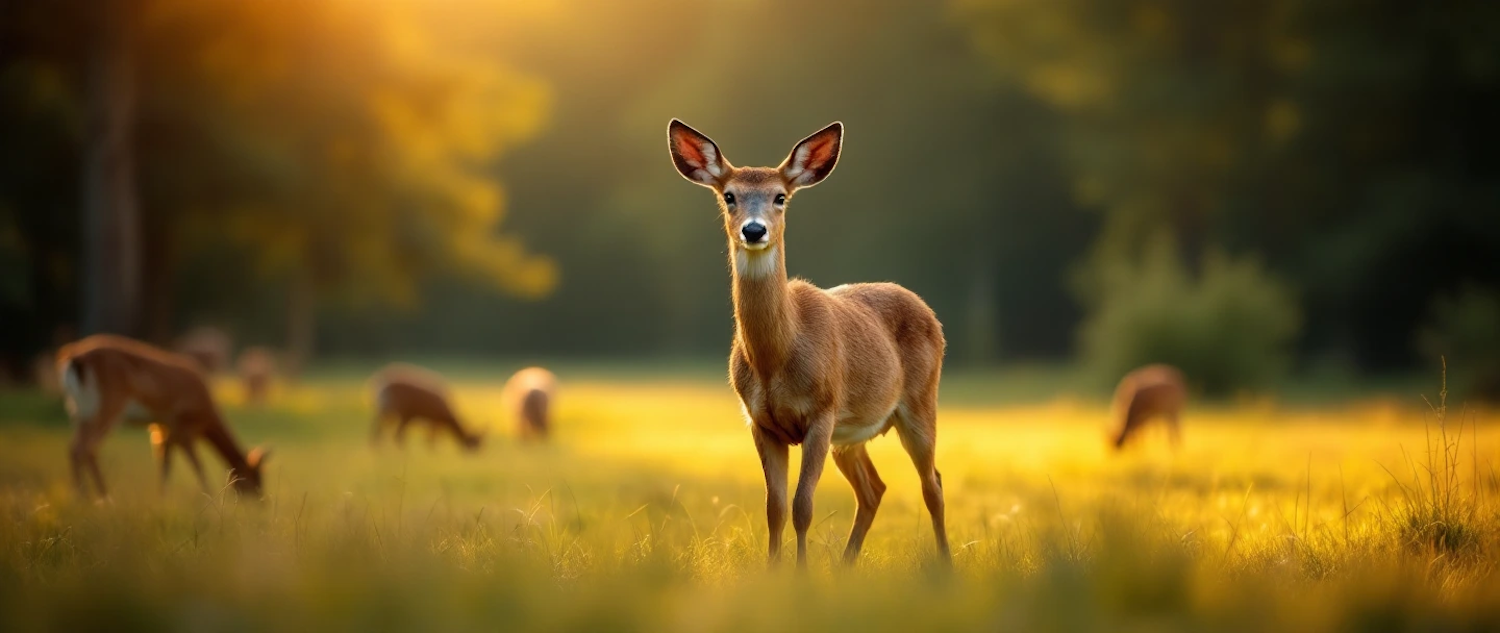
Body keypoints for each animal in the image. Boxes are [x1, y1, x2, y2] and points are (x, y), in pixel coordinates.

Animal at [54, 334, 271, 501]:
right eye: (255, 479)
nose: (261, 503)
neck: (207, 414)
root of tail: (75, 358)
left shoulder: (162, 428)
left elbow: (164, 465)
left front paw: (162, 500)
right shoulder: (183, 428)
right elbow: (198, 466)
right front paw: (212, 502)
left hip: (80, 411)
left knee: (74, 447)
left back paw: (84, 497)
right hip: (107, 406)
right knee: (86, 448)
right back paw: (102, 498)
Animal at [669, 120, 948, 570]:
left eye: (780, 197)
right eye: (729, 196)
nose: (754, 229)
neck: (776, 357)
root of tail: (929, 312)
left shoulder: (822, 410)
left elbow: (803, 506)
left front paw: (801, 575)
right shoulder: (760, 422)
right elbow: (775, 508)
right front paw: (774, 573)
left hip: (920, 401)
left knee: (932, 483)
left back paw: (945, 565)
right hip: (850, 435)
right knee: (874, 489)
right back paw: (846, 567)